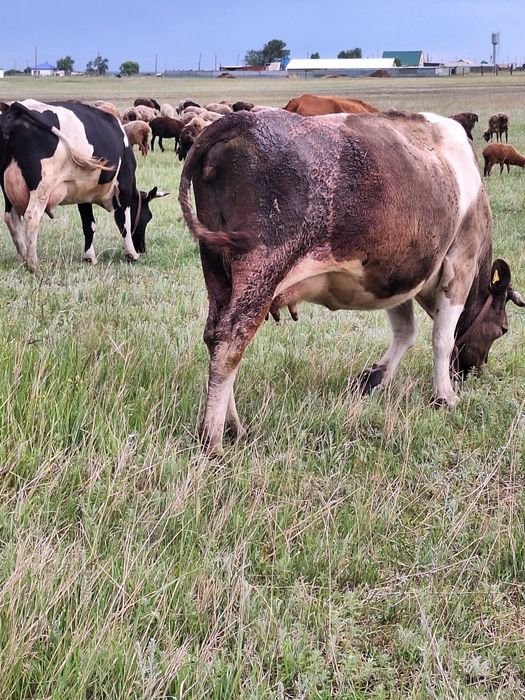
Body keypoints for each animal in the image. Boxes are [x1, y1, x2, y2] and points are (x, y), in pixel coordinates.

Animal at [1, 99, 167, 270]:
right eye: (148, 216)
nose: (142, 248)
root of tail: (16, 108)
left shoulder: (83, 194)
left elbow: (89, 224)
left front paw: (90, 257)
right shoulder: (124, 186)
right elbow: (125, 221)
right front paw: (131, 254)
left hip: (7, 188)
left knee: (11, 218)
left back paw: (24, 257)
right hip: (42, 186)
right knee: (31, 216)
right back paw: (33, 264)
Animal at [178, 110, 524, 452]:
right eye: (503, 329)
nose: (474, 372)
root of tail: (238, 121)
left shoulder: (391, 276)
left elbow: (404, 332)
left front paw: (373, 378)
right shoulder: (460, 264)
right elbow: (442, 338)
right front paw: (444, 396)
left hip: (219, 274)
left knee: (214, 336)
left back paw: (234, 427)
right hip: (262, 271)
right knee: (230, 342)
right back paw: (213, 439)